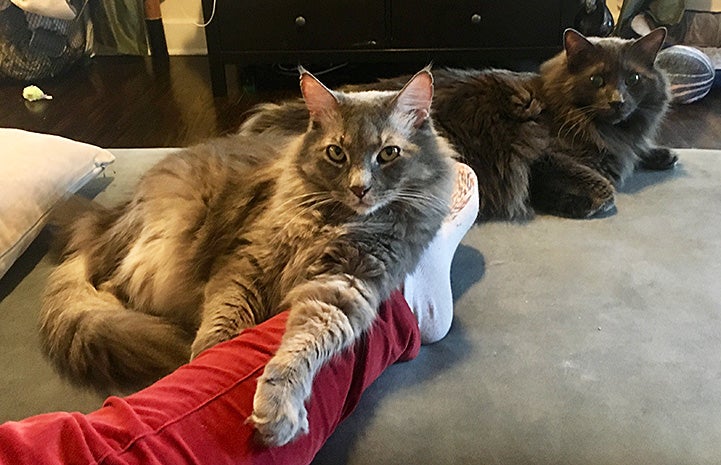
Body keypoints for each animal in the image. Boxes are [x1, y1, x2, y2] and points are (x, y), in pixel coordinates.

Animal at [39, 68, 452, 442]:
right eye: (337, 153)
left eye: (388, 154)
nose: (360, 189)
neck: (334, 222)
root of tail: (110, 216)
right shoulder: (249, 262)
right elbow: (222, 324)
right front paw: (208, 366)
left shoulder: (344, 286)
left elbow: (300, 349)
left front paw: (279, 408)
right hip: (165, 235)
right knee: (108, 285)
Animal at [243, 28, 676, 220]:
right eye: (597, 80)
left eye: (634, 79)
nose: (618, 101)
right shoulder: (542, 155)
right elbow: (602, 186)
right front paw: (581, 204)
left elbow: (638, 155)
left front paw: (662, 154)